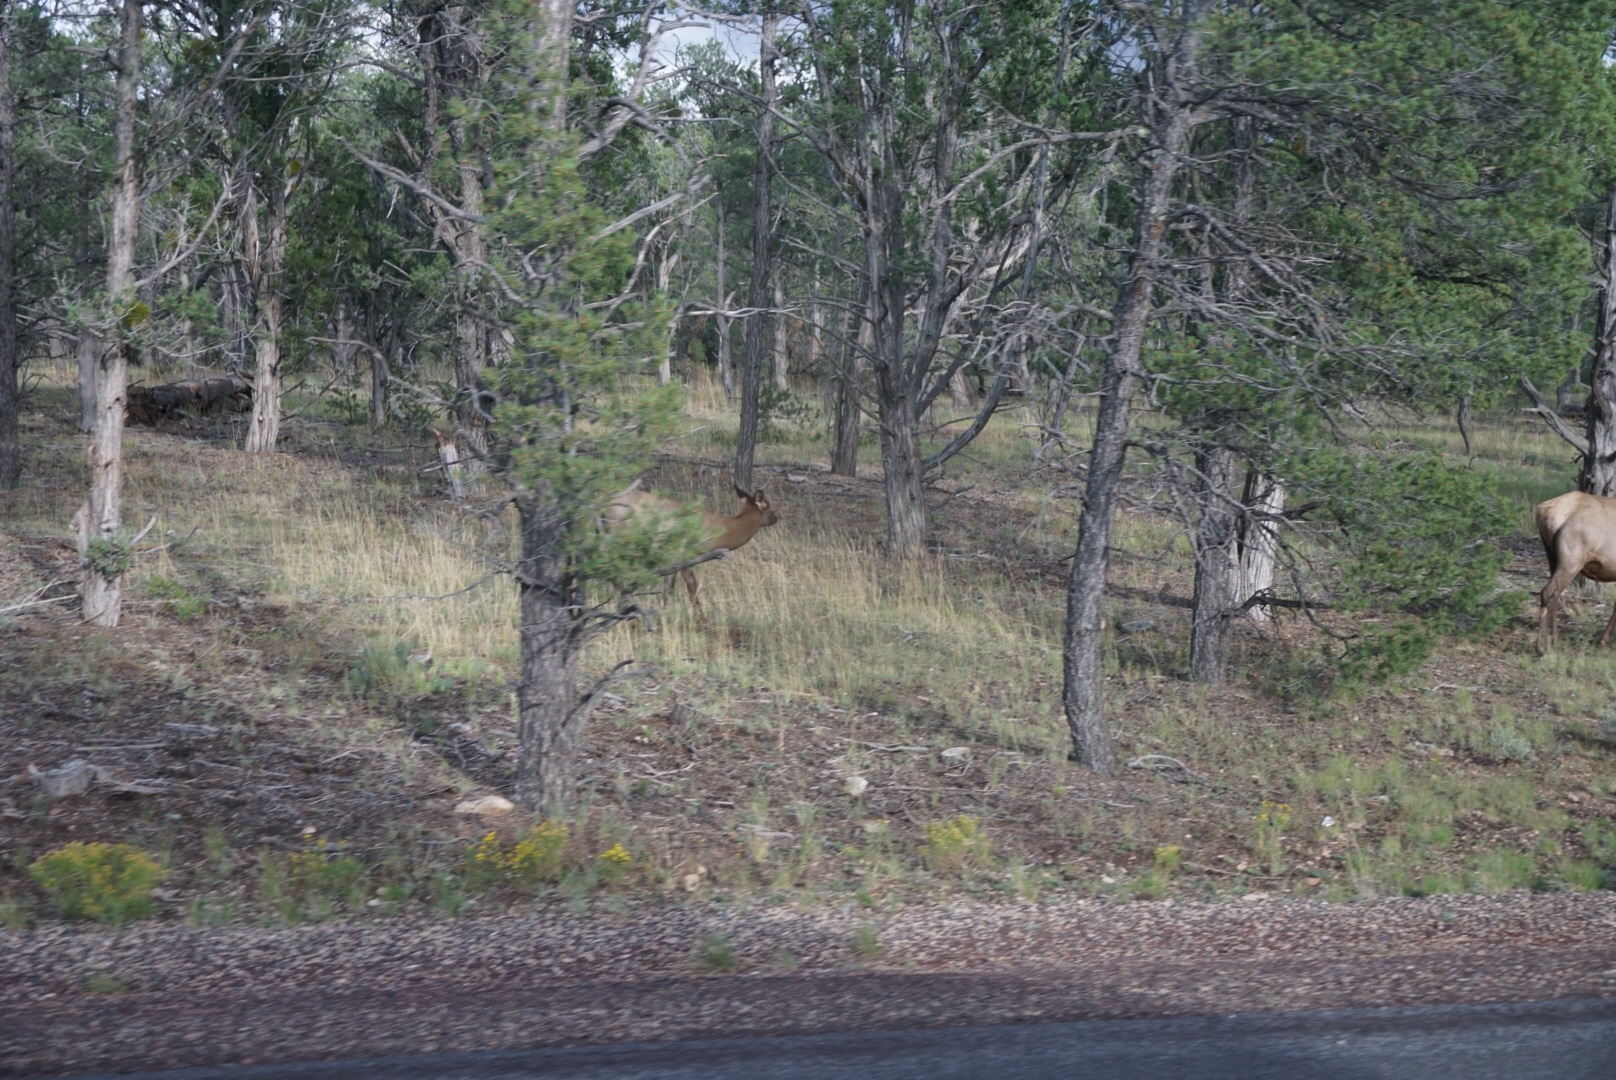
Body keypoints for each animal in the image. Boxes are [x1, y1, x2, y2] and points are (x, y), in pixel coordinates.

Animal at [607, 481, 778, 614]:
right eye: (770, 508)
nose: (776, 518)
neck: (716, 533)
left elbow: (668, 586)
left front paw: (662, 613)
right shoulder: (684, 552)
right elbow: (691, 586)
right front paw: (702, 619)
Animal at [1525, 494, 1616, 653]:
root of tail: (1543, 511)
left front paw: (1603, 641)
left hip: (1552, 556)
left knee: (1556, 595)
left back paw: (1554, 641)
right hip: (1572, 560)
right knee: (1548, 592)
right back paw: (1542, 647)